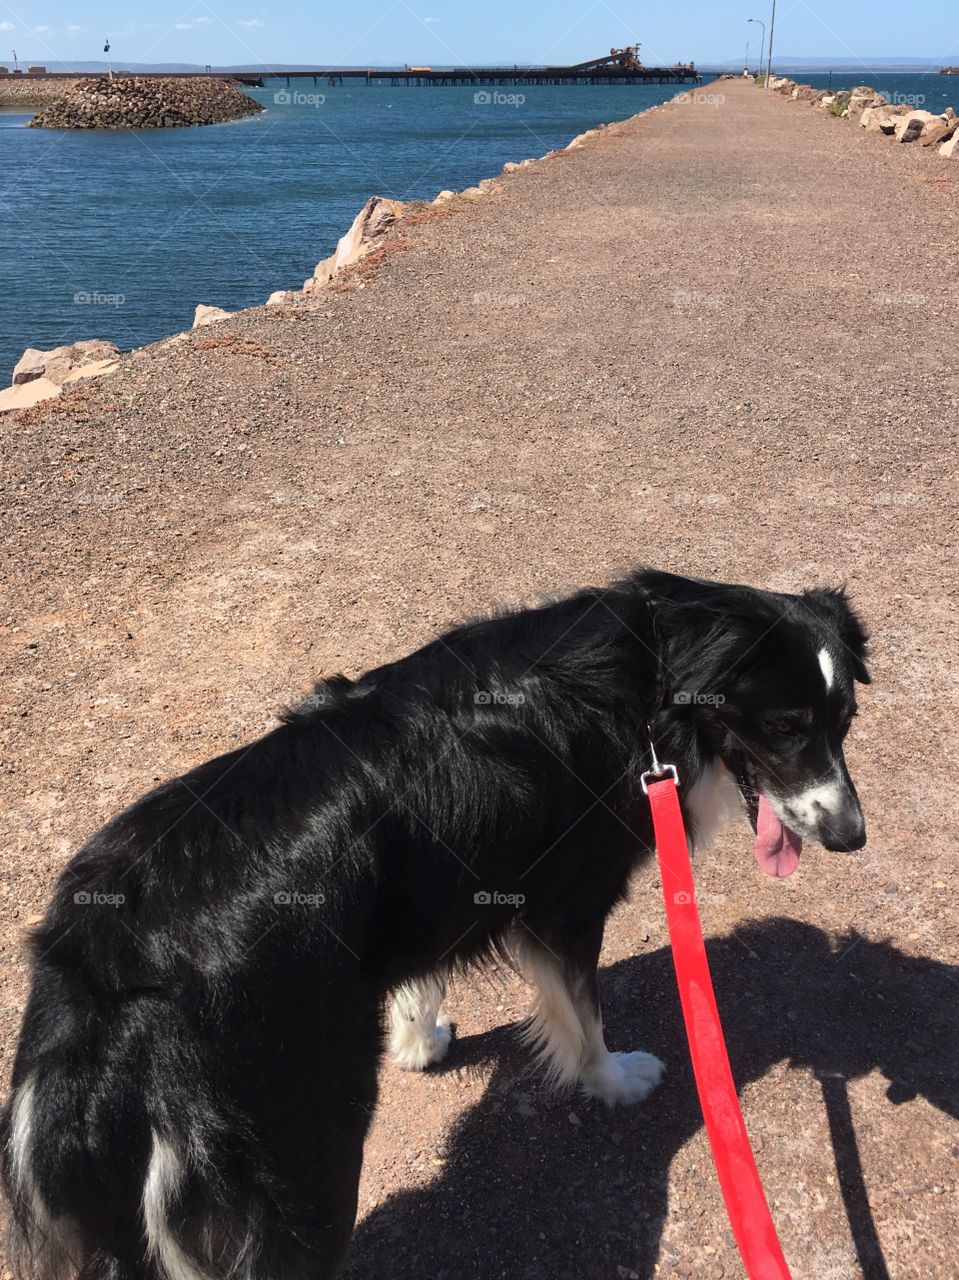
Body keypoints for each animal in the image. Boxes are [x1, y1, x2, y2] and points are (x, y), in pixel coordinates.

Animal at [0, 573, 865, 1280]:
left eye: (845, 722)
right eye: (786, 725)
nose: (851, 837)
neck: (650, 678)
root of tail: (110, 967)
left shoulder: (436, 890)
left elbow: (422, 976)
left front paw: (418, 1042)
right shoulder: (566, 906)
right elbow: (584, 1016)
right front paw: (615, 1083)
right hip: (305, 1162)